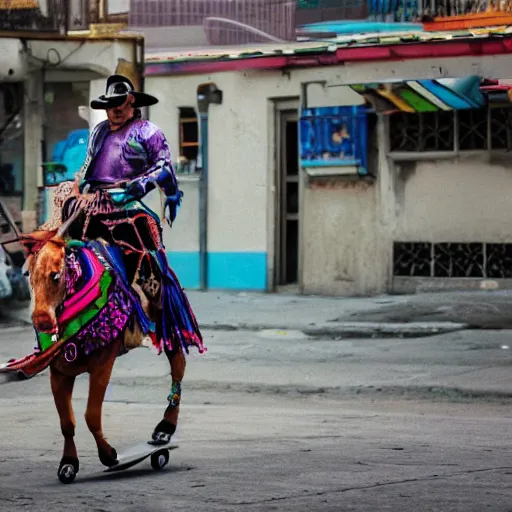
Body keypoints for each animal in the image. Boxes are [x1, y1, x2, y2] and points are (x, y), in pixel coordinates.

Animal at [22, 213, 187, 484]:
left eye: (55, 275)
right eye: (28, 275)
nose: (42, 321)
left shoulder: (102, 366)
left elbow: (91, 416)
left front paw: (109, 456)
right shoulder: (59, 372)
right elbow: (66, 422)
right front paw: (69, 463)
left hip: (169, 321)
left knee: (178, 367)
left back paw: (164, 431)